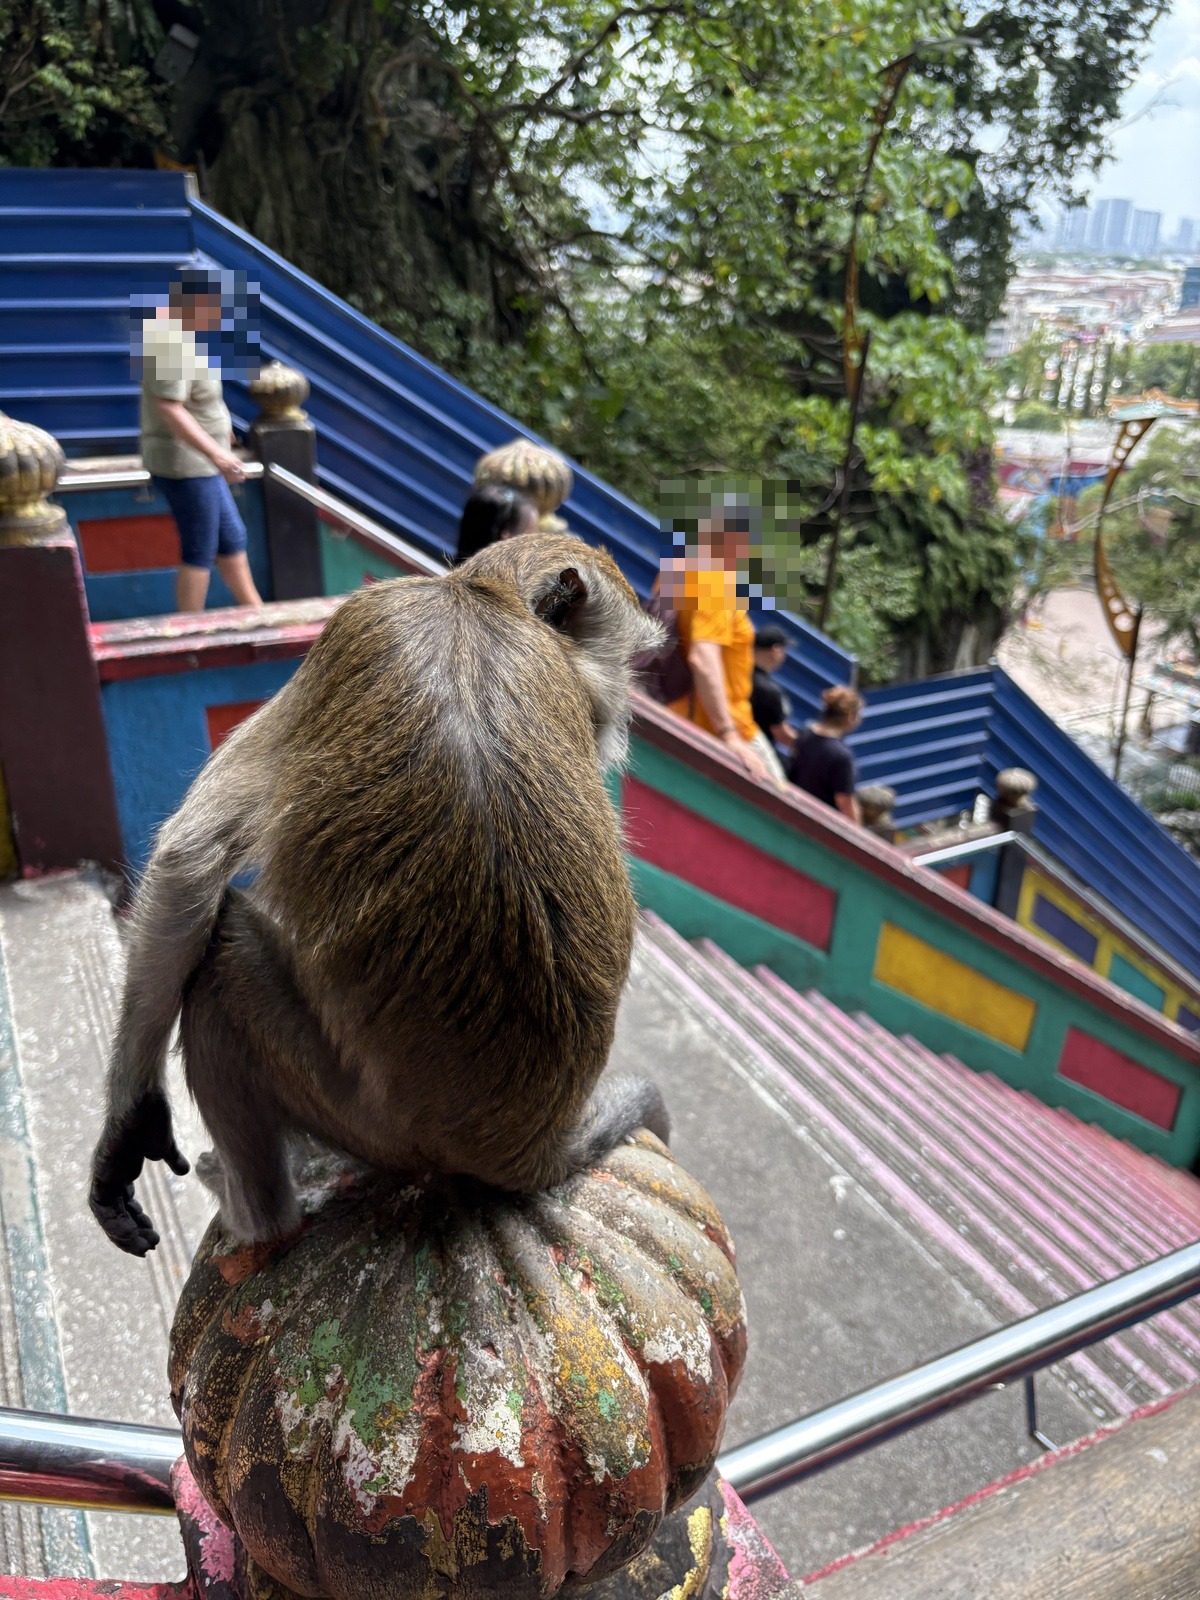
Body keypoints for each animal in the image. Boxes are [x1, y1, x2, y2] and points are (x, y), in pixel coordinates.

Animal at [89, 533, 671, 1256]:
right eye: (627, 664)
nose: (624, 714)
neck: (480, 600)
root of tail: (523, 1151)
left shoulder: (356, 624)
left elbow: (190, 856)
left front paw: (129, 1126)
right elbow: (194, 856)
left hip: (368, 1122)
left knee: (221, 958)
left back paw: (258, 1218)